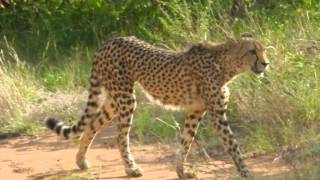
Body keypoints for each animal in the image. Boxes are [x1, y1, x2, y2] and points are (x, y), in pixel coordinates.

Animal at [45, 34, 268, 179]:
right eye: (252, 51)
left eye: (263, 50)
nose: (265, 64)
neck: (225, 65)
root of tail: (109, 41)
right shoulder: (216, 114)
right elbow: (232, 145)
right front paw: (247, 173)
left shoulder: (196, 111)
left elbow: (186, 141)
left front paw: (181, 171)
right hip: (126, 98)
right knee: (120, 136)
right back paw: (131, 169)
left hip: (113, 100)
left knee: (92, 125)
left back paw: (81, 161)